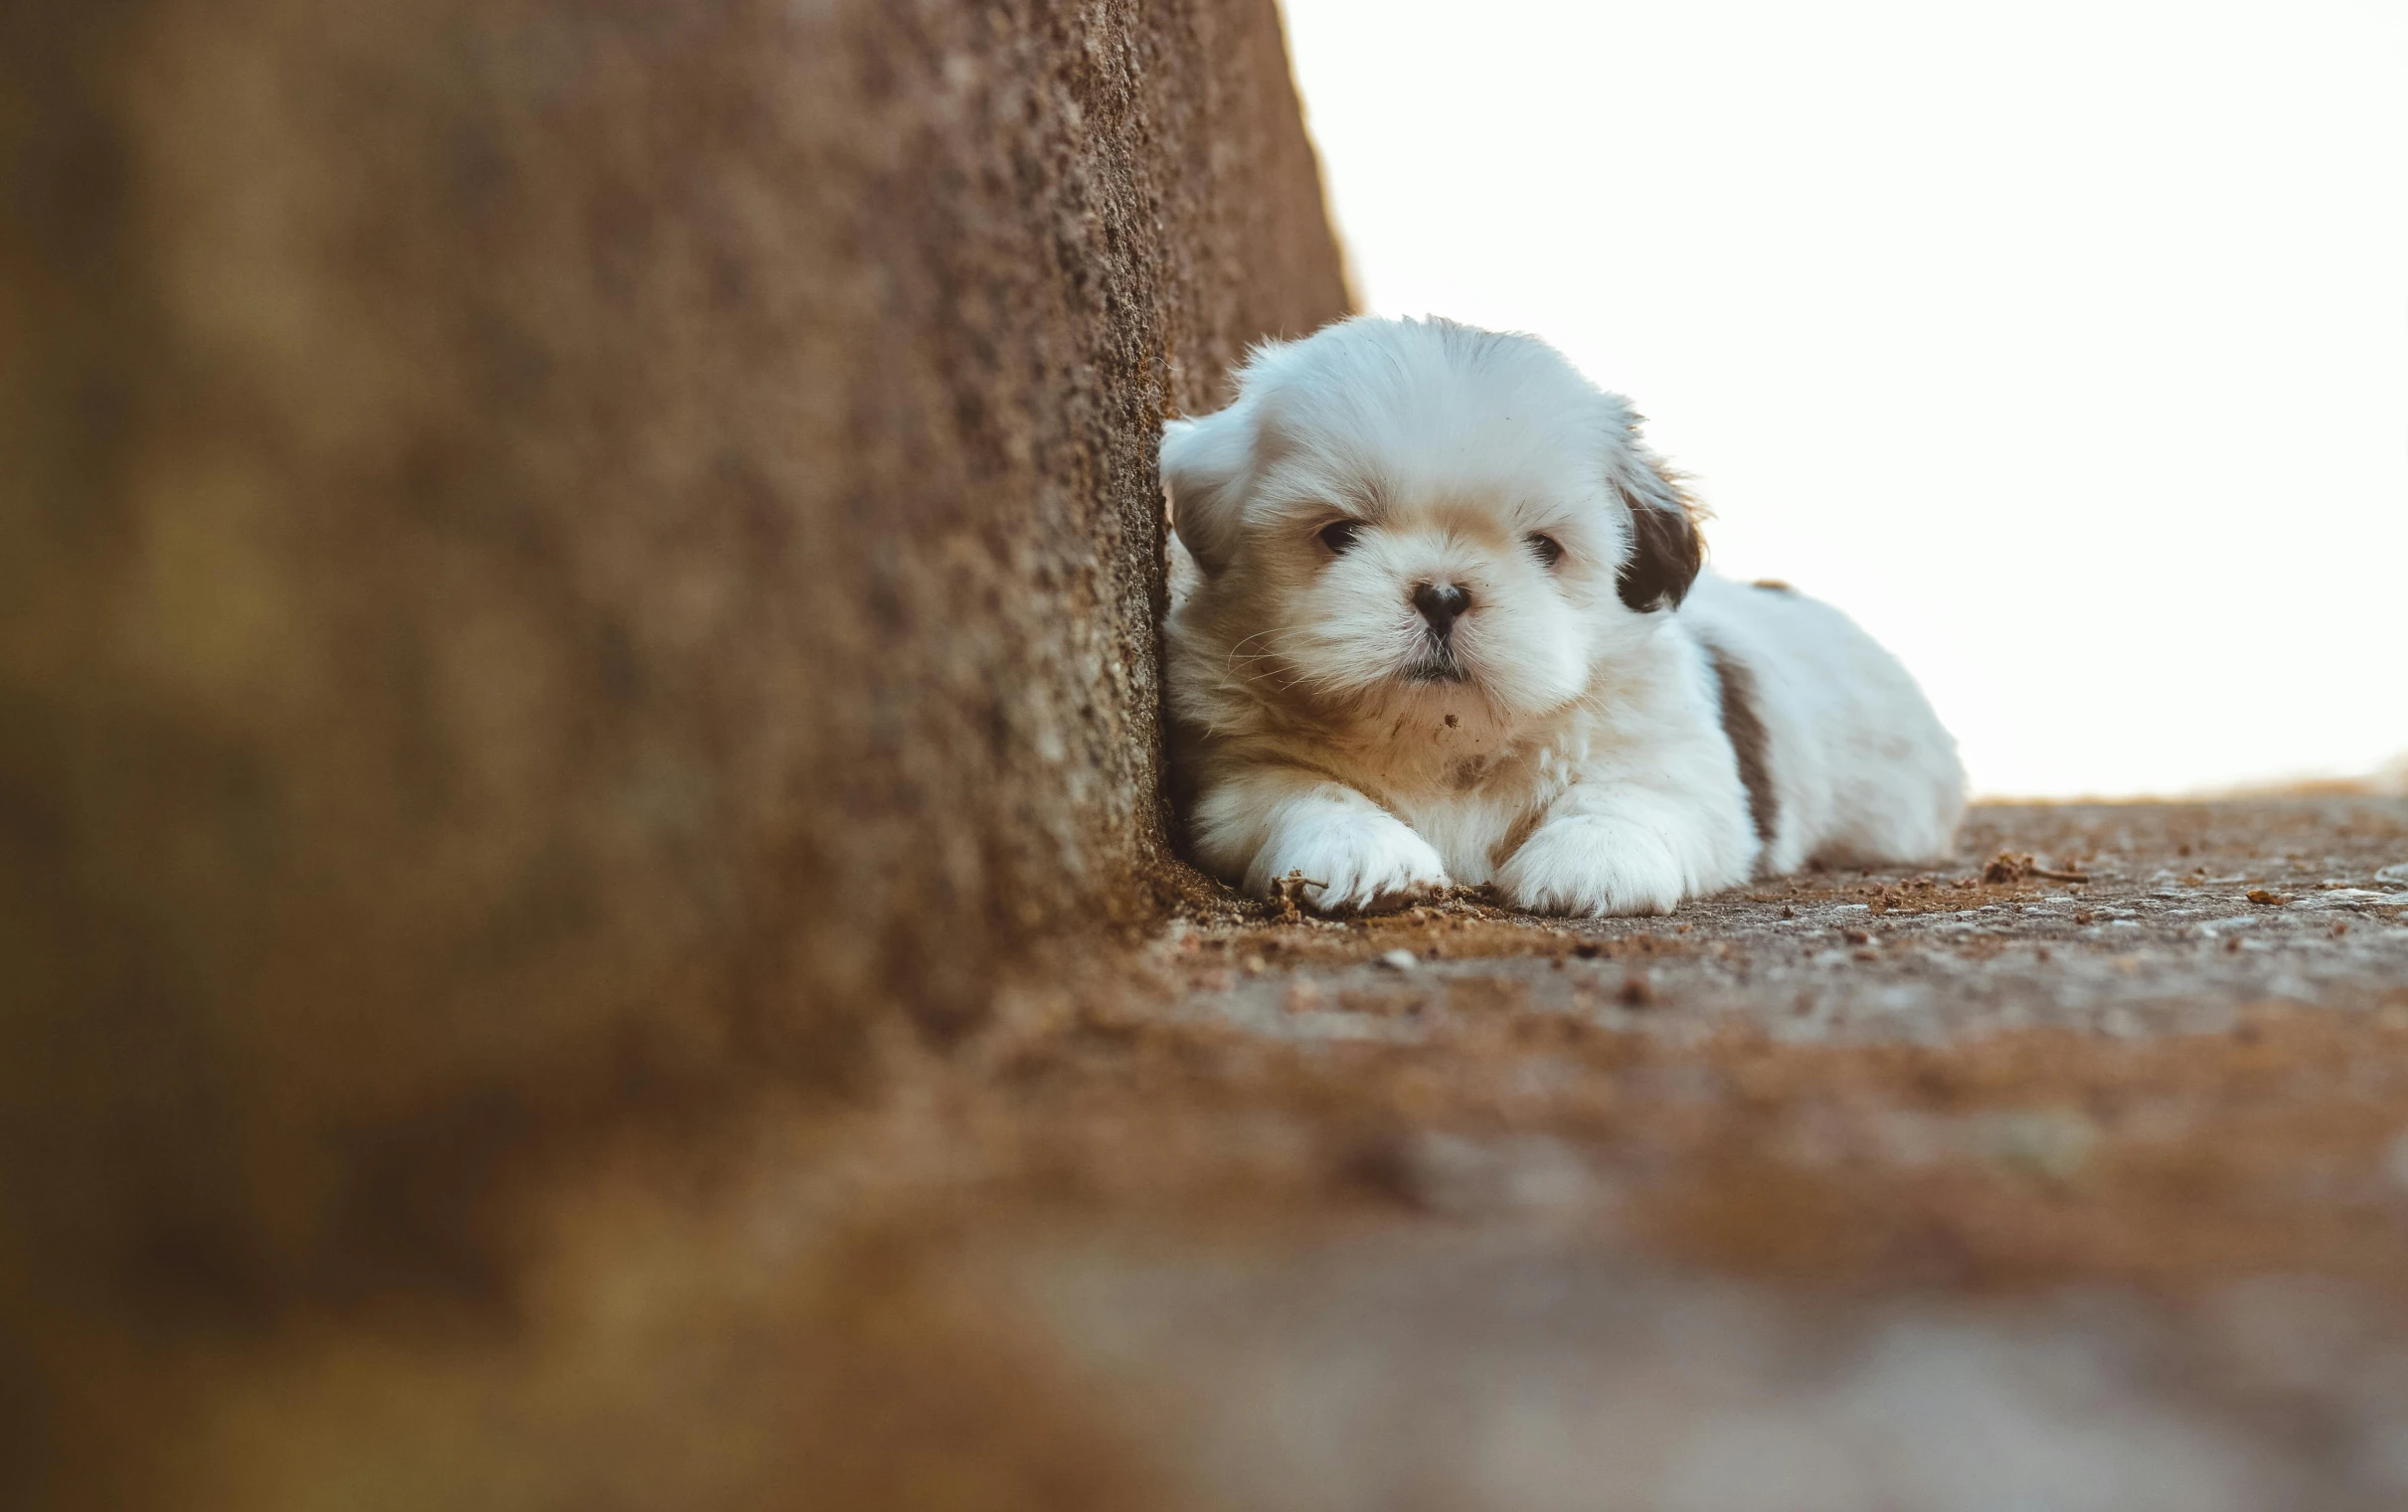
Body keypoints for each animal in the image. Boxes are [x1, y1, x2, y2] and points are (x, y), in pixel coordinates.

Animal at [1155, 312, 1965, 915]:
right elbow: (1303, 792)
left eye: (1545, 548)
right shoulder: (1238, 772)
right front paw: (1362, 852)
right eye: (1339, 533)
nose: (1443, 593)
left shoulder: (1678, 765)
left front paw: (1591, 862)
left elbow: (1627, 796)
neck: (1443, 740)